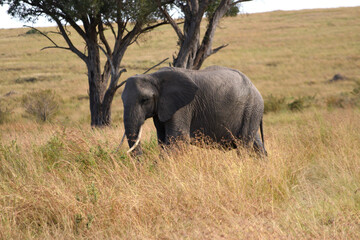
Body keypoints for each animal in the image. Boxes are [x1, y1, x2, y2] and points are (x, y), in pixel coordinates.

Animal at [119, 65, 266, 156]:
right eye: (122, 100)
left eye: (145, 100)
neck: (153, 77)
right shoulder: (162, 107)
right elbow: (162, 139)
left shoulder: (183, 107)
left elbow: (178, 139)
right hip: (251, 112)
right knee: (256, 144)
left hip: (251, 108)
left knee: (244, 145)